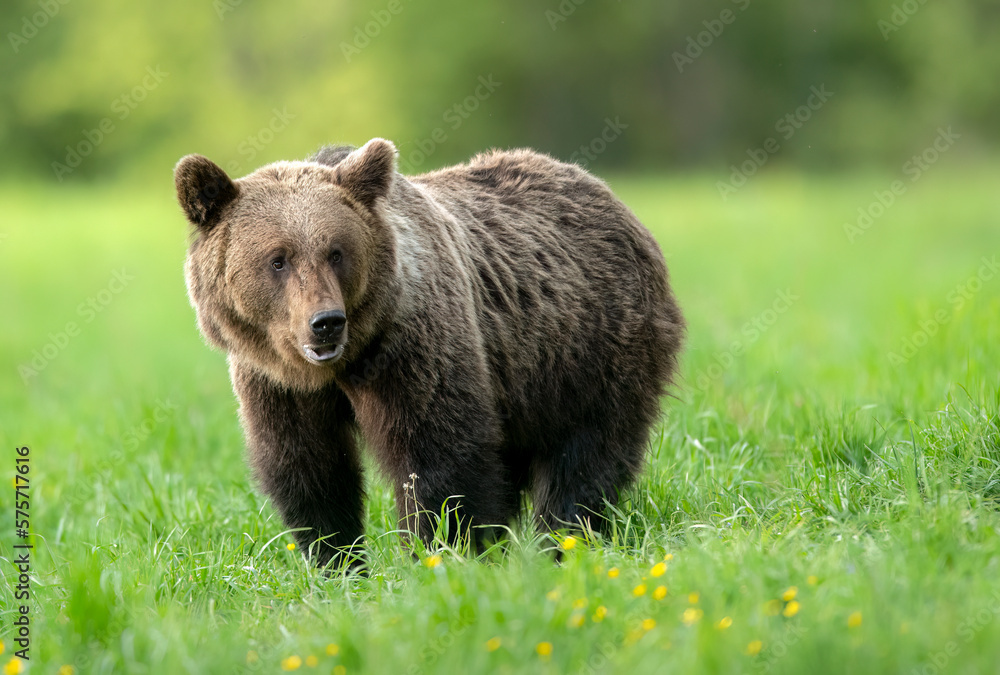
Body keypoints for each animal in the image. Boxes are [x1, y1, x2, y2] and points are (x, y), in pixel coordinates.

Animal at [175, 138, 685, 569]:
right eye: (278, 259)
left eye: (336, 251)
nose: (326, 322)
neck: (341, 365)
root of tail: (606, 194)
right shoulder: (275, 382)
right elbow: (309, 468)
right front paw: (337, 561)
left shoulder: (411, 348)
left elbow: (438, 455)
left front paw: (444, 550)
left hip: (590, 349)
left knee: (588, 453)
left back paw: (562, 540)